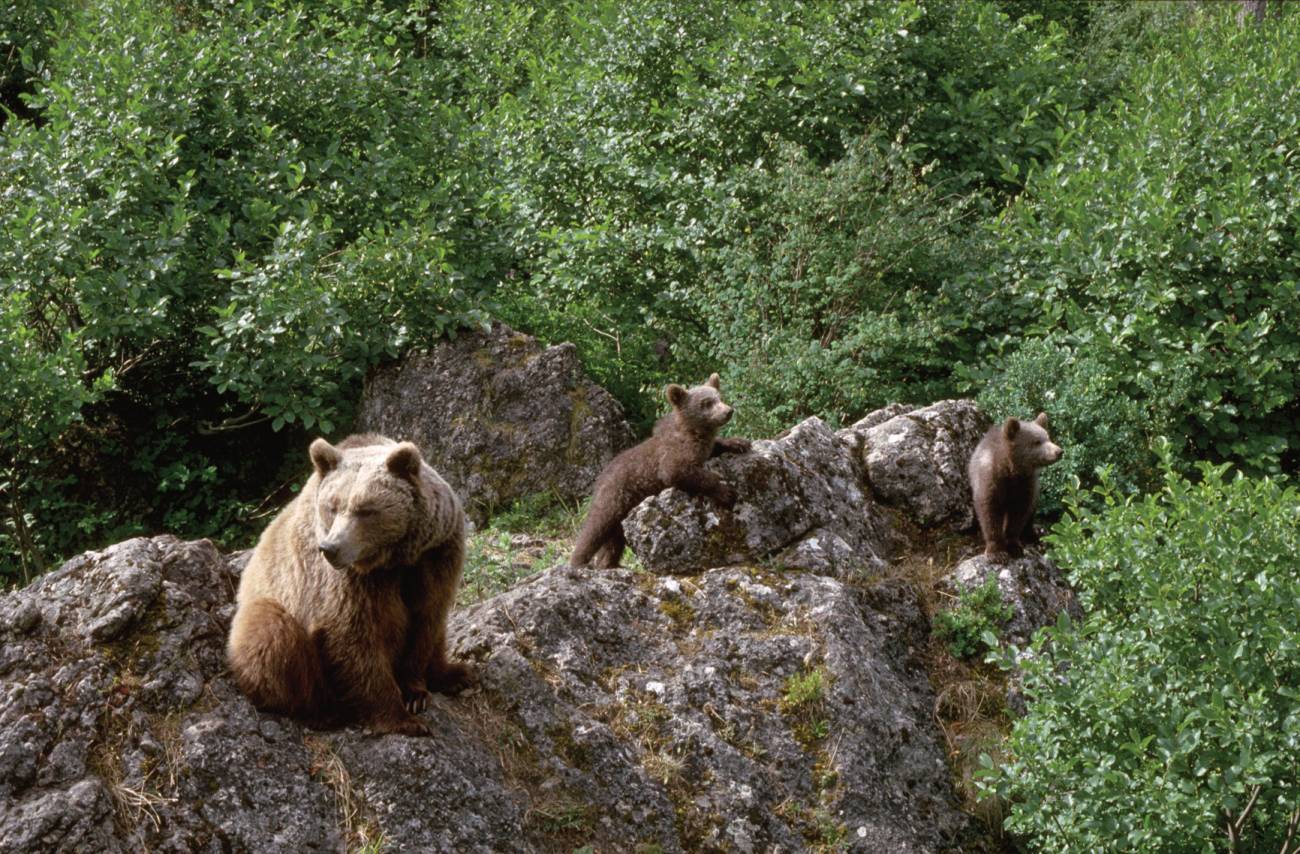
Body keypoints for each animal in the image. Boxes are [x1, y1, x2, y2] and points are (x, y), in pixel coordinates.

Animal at [227, 433, 469, 736]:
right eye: (332, 506)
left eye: (365, 509)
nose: (331, 548)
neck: (394, 559)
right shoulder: (347, 583)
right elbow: (353, 635)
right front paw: (403, 718)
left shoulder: (436, 556)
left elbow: (427, 620)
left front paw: (415, 693)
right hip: (274, 612)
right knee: (272, 634)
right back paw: (323, 712)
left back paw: (454, 674)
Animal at [570, 373, 751, 568]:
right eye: (707, 402)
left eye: (719, 397)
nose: (728, 411)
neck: (694, 432)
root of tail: (599, 480)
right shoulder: (674, 454)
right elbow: (678, 471)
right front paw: (726, 492)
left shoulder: (701, 446)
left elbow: (715, 447)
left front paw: (739, 443)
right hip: (614, 497)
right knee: (595, 528)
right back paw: (578, 561)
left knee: (614, 540)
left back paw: (609, 564)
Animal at [968, 412, 1063, 563]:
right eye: (1037, 441)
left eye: (1048, 437)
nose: (1059, 451)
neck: (1012, 470)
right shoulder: (990, 482)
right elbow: (989, 513)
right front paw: (997, 553)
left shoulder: (1025, 486)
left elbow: (1018, 515)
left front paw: (1014, 546)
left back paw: (1035, 534)